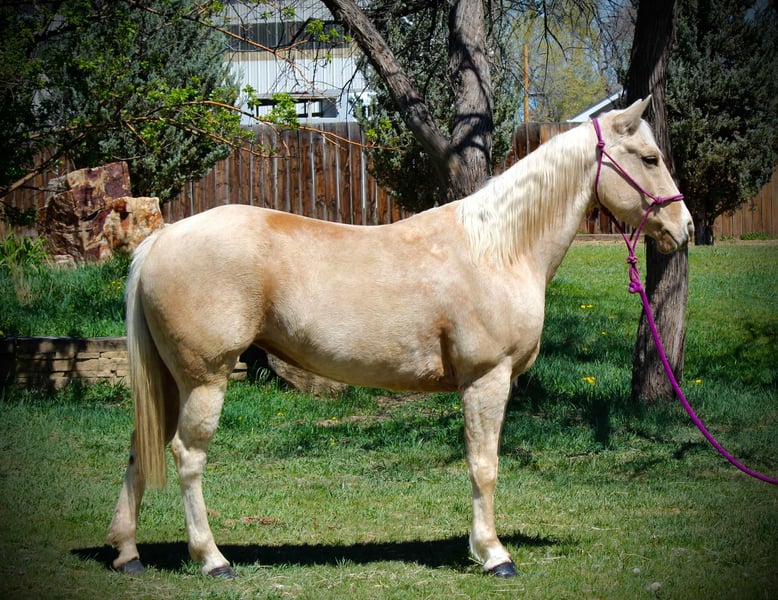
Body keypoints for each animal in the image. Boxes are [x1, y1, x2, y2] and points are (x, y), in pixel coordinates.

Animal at [107, 98, 693, 579]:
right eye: (647, 157)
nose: (684, 227)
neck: (498, 248)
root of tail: (161, 239)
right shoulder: (487, 379)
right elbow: (484, 465)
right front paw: (493, 554)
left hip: (169, 380)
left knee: (141, 445)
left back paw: (127, 553)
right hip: (204, 380)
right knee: (187, 455)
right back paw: (212, 559)